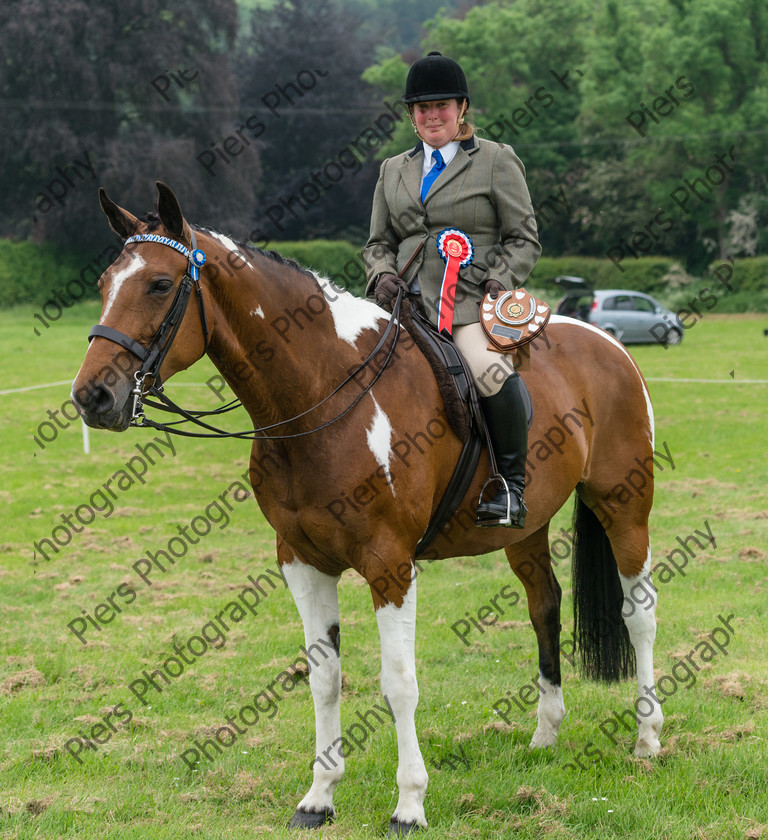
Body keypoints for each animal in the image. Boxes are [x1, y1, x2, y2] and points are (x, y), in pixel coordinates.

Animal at [69, 182, 664, 832]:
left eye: (158, 284)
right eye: (104, 282)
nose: (92, 396)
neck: (322, 395)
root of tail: (606, 342)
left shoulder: (389, 565)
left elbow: (398, 684)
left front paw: (409, 804)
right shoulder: (302, 563)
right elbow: (324, 679)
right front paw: (319, 796)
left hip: (625, 507)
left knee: (639, 614)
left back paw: (647, 739)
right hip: (524, 528)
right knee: (544, 606)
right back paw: (546, 734)